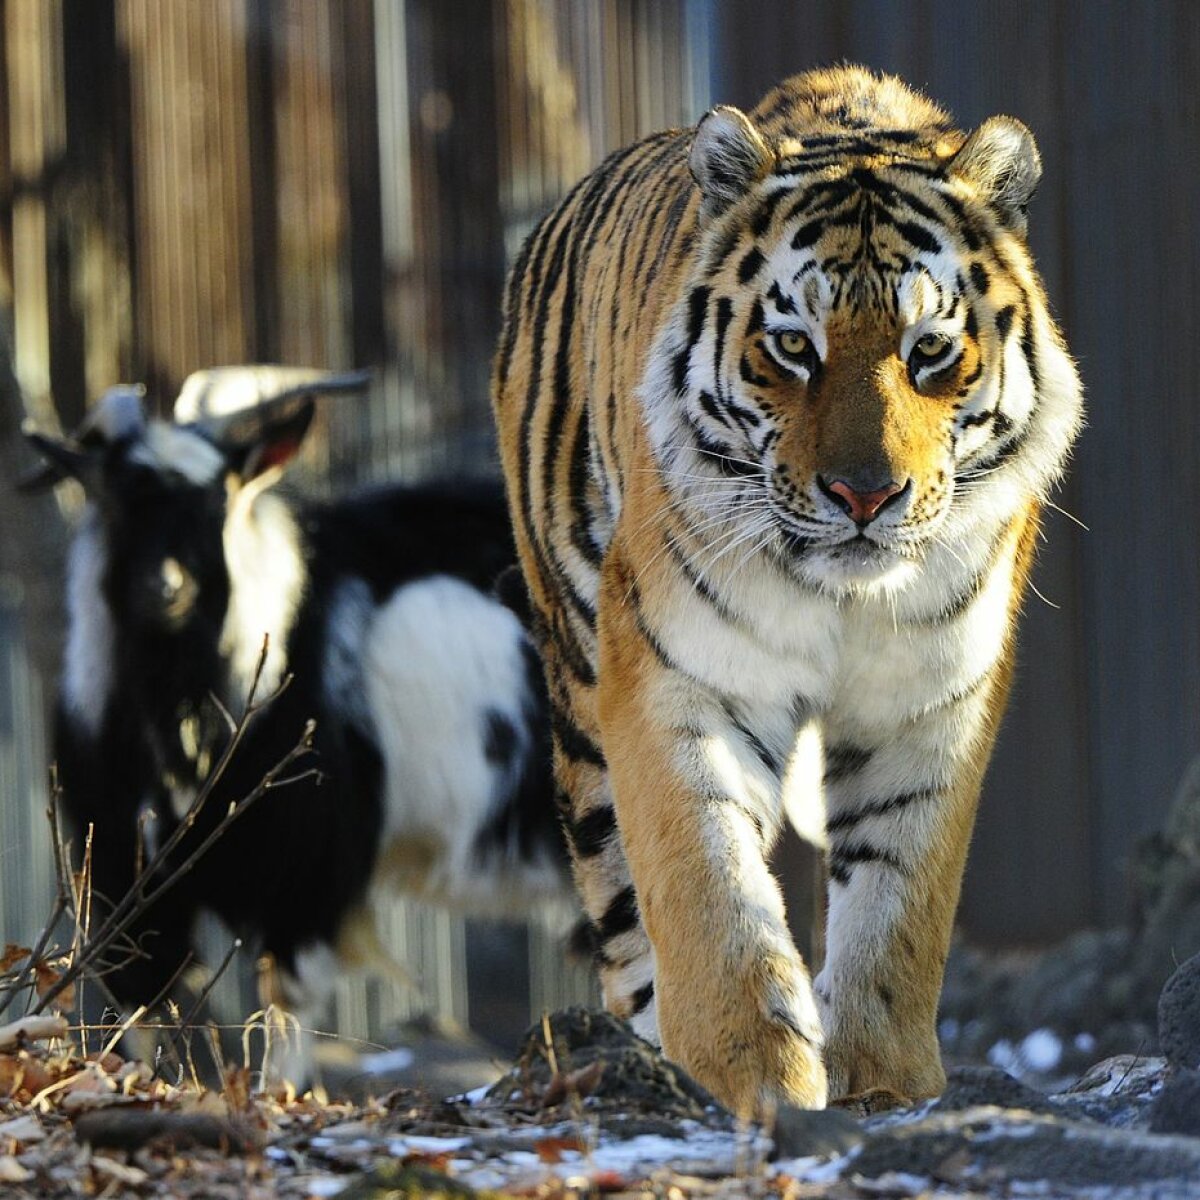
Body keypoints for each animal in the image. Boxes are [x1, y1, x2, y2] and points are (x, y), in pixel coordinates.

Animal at [22, 369, 566, 1027]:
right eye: (122, 498)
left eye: (219, 499)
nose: (167, 587)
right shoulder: (124, 893)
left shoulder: (305, 889)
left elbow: (283, 1032)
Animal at [492, 65, 1084, 1113]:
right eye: (795, 346)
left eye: (930, 349)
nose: (865, 494)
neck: (843, 599)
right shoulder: (679, 679)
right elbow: (707, 887)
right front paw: (754, 1075)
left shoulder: (933, 701)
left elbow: (901, 901)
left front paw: (884, 1085)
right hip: (578, 683)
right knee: (623, 909)